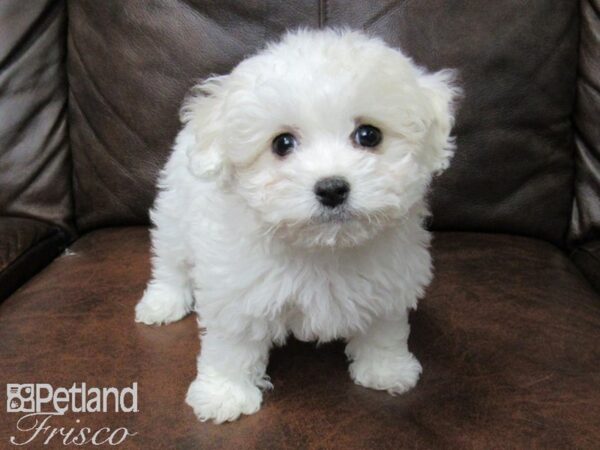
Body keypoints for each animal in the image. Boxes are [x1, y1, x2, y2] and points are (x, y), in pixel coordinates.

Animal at [136, 28, 458, 422]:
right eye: (282, 143)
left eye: (369, 135)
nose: (332, 188)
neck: (323, 247)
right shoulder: (236, 286)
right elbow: (231, 343)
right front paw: (224, 394)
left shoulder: (389, 281)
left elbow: (384, 328)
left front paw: (387, 369)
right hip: (175, 214)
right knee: (170, 262)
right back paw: (162, 302)